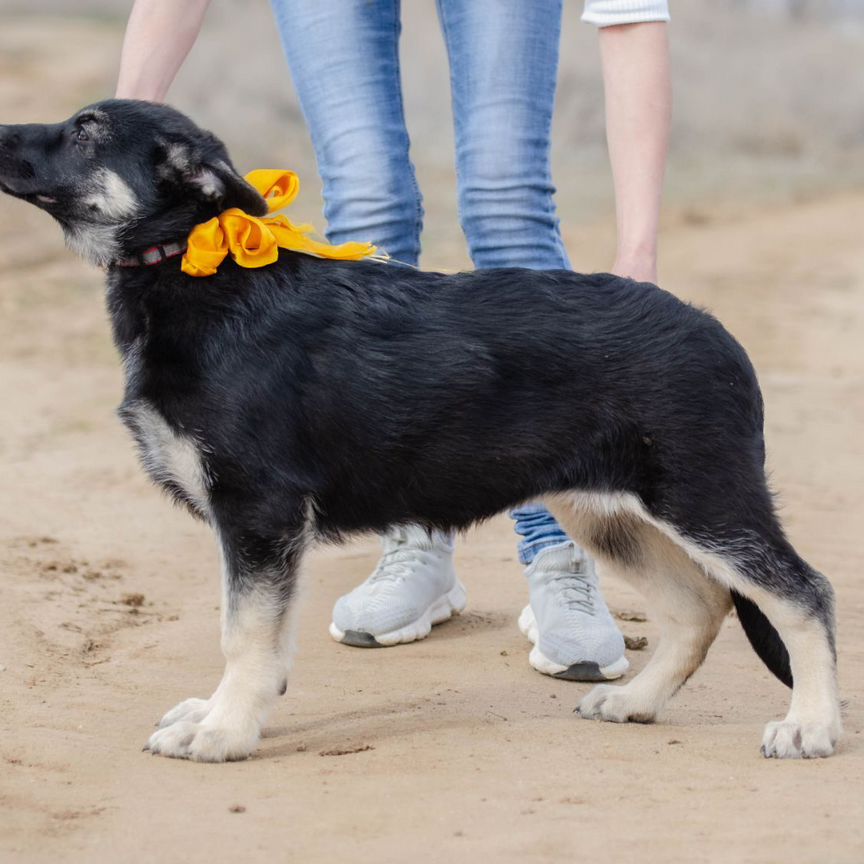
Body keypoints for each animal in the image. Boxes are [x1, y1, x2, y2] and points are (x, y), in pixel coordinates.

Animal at [0, 103, 840, 764]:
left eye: (86, 130)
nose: (2, 129)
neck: (194, 268)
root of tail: (720, 337)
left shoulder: (258, 513)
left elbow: (246, 633)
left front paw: (226, 729)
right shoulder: (255, 525)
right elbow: (249, 630)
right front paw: (218, 714)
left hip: (705, 498)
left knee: (803, 593)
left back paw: (810, 727)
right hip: (608, 511)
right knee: (699, 608)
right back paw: (636, 701)